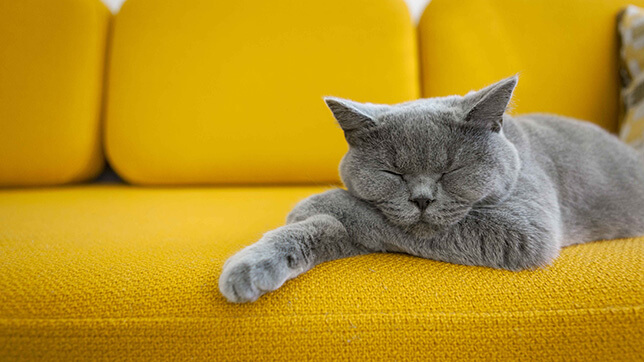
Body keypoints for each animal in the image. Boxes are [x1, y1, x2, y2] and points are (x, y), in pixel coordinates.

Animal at [218, 75, 644, 302]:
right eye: (393, 172)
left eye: (450, 170)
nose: (421, 198)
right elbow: (326, 230)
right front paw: (251, 268)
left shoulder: (525, 229)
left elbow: (366, 213)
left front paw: (316, 200)